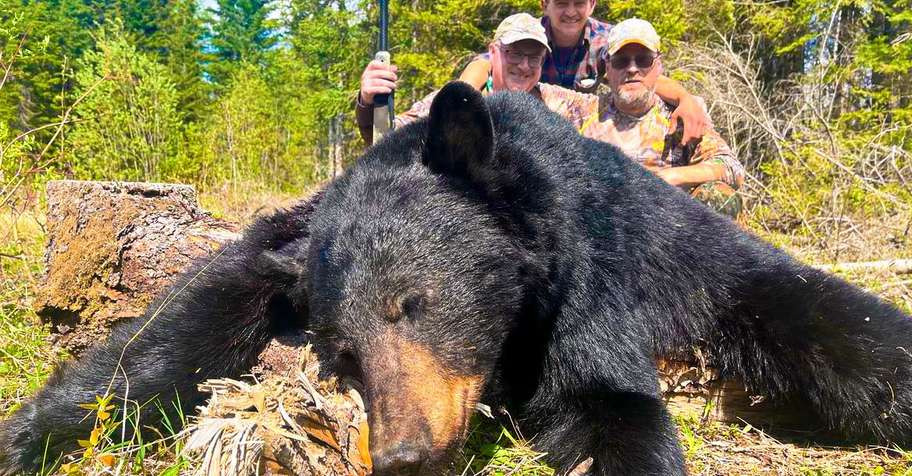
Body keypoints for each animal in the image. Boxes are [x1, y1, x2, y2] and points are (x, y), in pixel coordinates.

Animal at [1, 81, 911, 475]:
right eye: (339, 349)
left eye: (414, 303)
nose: (402, 453)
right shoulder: (291, 238)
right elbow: (186, 317)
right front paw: (37, 432)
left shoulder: (587, 284)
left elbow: (605, 400)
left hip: (708, 261)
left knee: (841, 329)